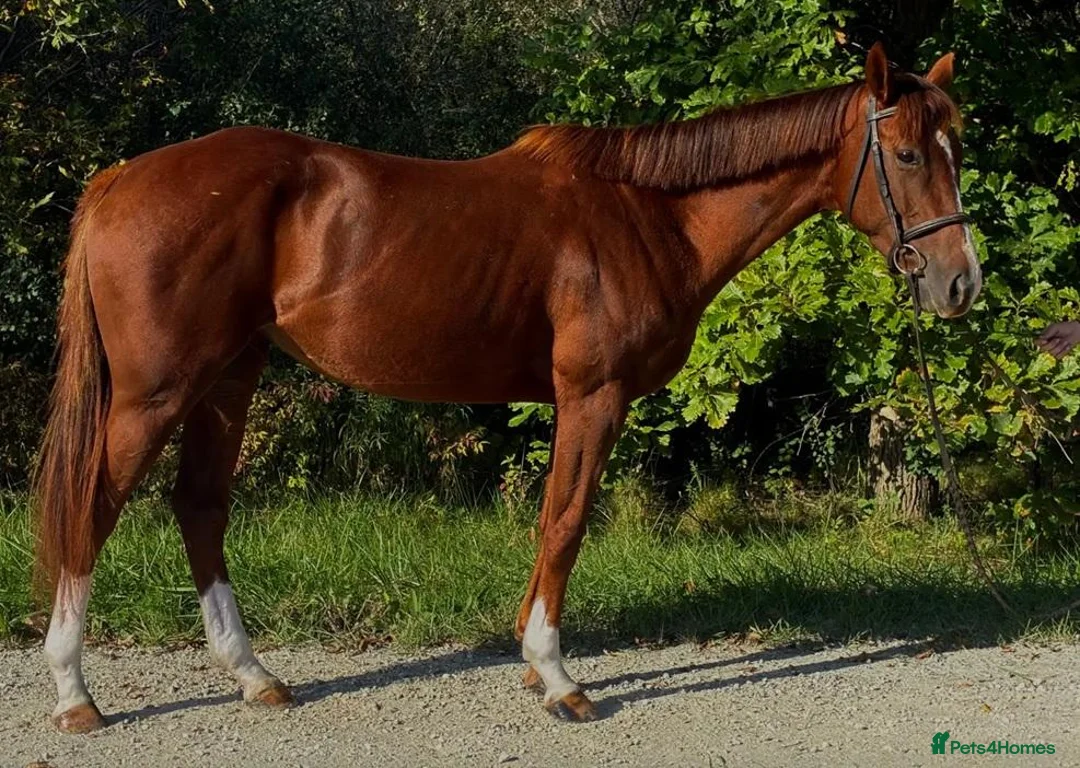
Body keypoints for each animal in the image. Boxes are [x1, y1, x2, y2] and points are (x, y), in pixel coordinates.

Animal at [34, 43, 980, 731]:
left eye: (956, 149)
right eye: (904, 154)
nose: (960, 283)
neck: (649, 215)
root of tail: (120, 179)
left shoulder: (575, 402)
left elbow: (551, 517)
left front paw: (533, 666)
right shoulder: (594, 395)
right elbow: (566, 522)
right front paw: (559, 678)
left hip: (229, 376)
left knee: (199, 506)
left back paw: (254, 676)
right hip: (157, 393)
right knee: (95, 505)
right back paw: (75, 693)